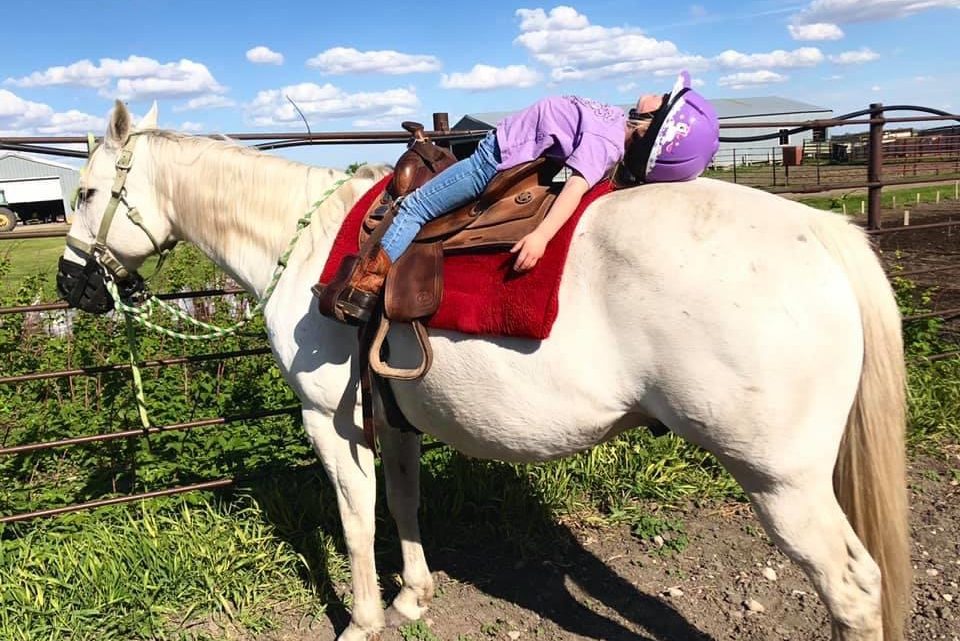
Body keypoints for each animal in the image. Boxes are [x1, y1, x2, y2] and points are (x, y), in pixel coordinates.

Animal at [63, 102, 912, 636]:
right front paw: (413, 595)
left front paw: (364, 619)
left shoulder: (330, 420)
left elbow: (354, 517)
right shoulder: (393, 415)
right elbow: (402, 501)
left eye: (87, 191)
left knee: (852, 588)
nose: (73, 286)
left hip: (782, 483)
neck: (304, 242)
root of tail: (821, 233)